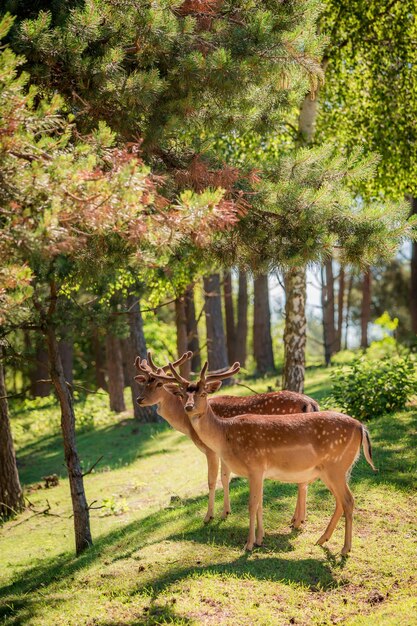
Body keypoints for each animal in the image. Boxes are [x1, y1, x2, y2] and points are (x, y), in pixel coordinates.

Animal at [133, 348, 318, 524]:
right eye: (145, 383)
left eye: (158, 383)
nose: (139, 399)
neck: (187, 426)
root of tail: (311, 403)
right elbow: (225, 478)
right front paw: (226, 512)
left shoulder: (210, 450)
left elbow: (212, 480)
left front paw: (209, 516)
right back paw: (298, 519)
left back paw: (297, 520)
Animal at [156, 358, 376, 552]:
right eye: (183, 394)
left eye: (202, 393)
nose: (189, 407)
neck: (225, 435)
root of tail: (361, 427)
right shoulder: (260, 473)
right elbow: (260, 504)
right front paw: (260, 539)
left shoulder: (255, 466)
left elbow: (252, 505)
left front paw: (248, 544)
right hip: (335, 469)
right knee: (340, 501)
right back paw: (322, 539)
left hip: (335, 466)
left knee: (348, 500)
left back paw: (345, 549)